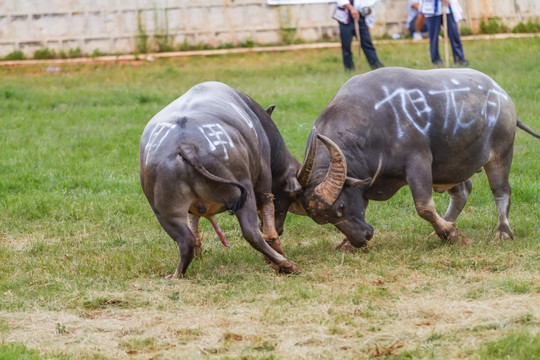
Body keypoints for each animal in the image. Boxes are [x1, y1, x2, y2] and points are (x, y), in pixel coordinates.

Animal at [139, 82, 300, 278]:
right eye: (293, 195)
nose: (281, 228)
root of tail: (185, 144)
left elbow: (193, 220)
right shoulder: (263, 176)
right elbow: (267, 213)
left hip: (164, 211)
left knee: (186, 241)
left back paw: (177, 274)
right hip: (244, 193)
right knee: (252, 233)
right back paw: (285, 264)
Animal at [294, 67, 536, 248]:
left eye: (341, 206)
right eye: (326, 220)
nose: (361, 239)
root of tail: (501, 94)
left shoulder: (418, 162)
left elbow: (424, 206)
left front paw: (452, 235)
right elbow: (364, 205)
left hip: (500, 154)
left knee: (501, 191)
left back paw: (502, 232)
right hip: (447, 167)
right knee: (463, 191)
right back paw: (446, 226)